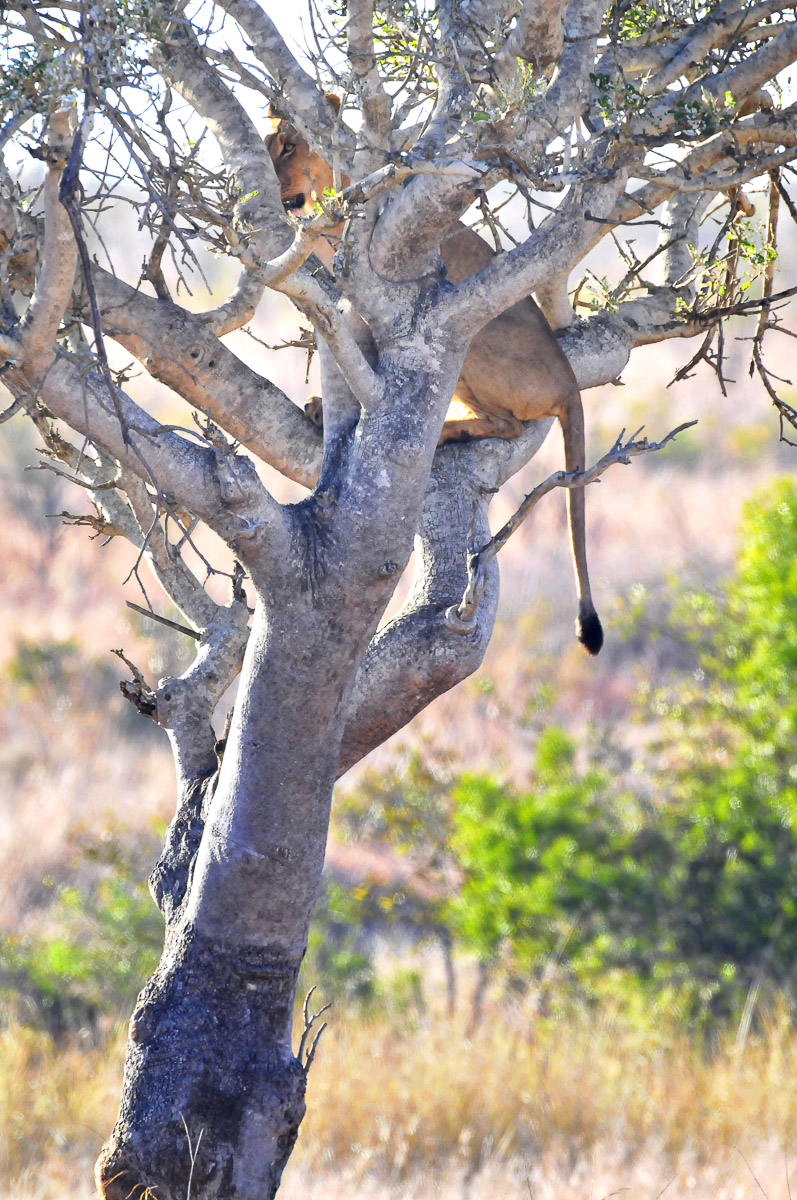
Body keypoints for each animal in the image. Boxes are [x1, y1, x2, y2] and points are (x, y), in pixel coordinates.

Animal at [266, 100, 603, 656]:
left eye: (290, 147)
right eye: (269, 147)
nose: (273, 190)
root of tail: (569, 379)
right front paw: (319, 407)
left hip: (459, 335)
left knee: (504, 423)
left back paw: (446, 432)